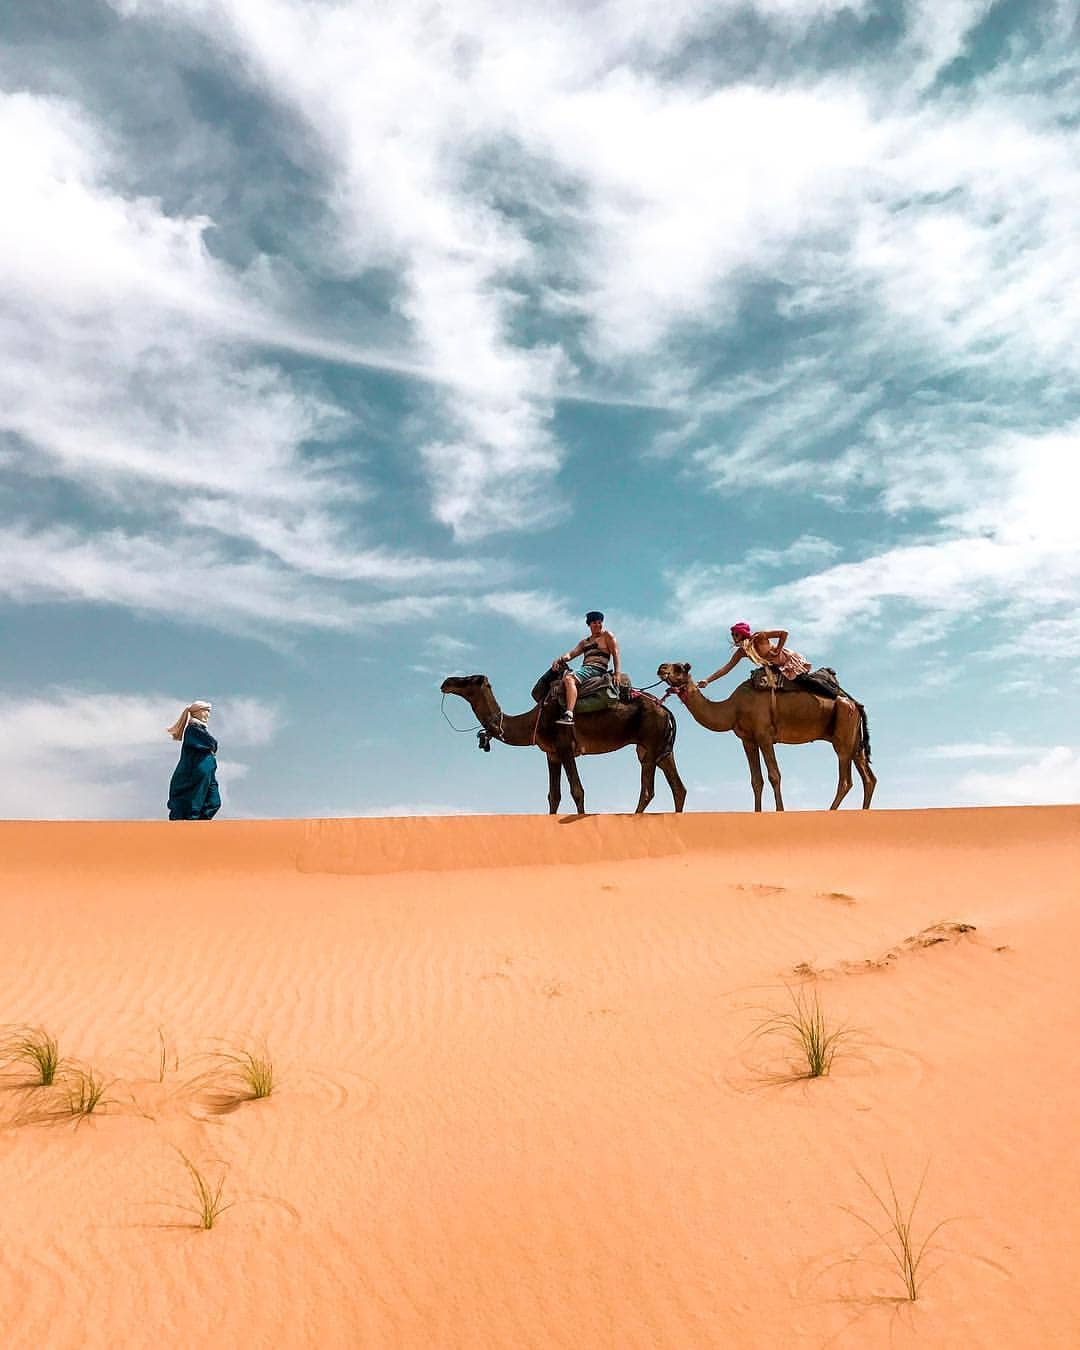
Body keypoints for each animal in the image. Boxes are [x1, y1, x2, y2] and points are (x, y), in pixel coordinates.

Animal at [437, 672, 683, 810]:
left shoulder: (565, 748)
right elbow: (553, 796)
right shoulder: (552, 754)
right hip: (660, 750)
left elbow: (577, 791)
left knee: (648, 791)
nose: (447, 681)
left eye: (471, 679)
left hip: (650, 744)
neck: (535, 720)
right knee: (678, 788)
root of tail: (666, 711)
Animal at [653, 664, 874, 810]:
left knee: (846, 780)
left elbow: (774, 775)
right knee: (868, 777)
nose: (661, 668)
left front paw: (780, 811)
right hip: (854, 741)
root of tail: (856, 705)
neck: (734, 708)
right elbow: (756, 780)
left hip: (843, 733)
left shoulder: (764, 735)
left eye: (680, 668)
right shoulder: (748, 740)